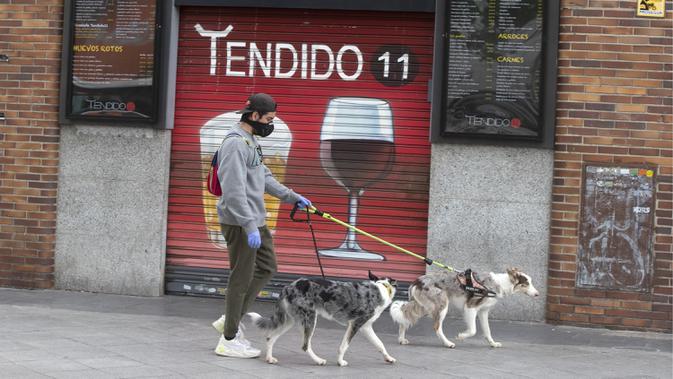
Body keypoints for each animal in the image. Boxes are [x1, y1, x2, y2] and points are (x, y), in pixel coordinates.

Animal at [388, 268, 540, 348]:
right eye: (526, 284)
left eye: (530, 283)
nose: (538, 294)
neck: (499, 284)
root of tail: (417, 280)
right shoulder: (470, 307)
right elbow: (473, 330)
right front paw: (461, 336)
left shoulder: (483, 311)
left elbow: (487, 330)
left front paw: (492, 343)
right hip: (442, 306)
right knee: (437, 327)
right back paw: (448, 343)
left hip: (423, 307)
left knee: (404, 319)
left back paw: (401, 339)